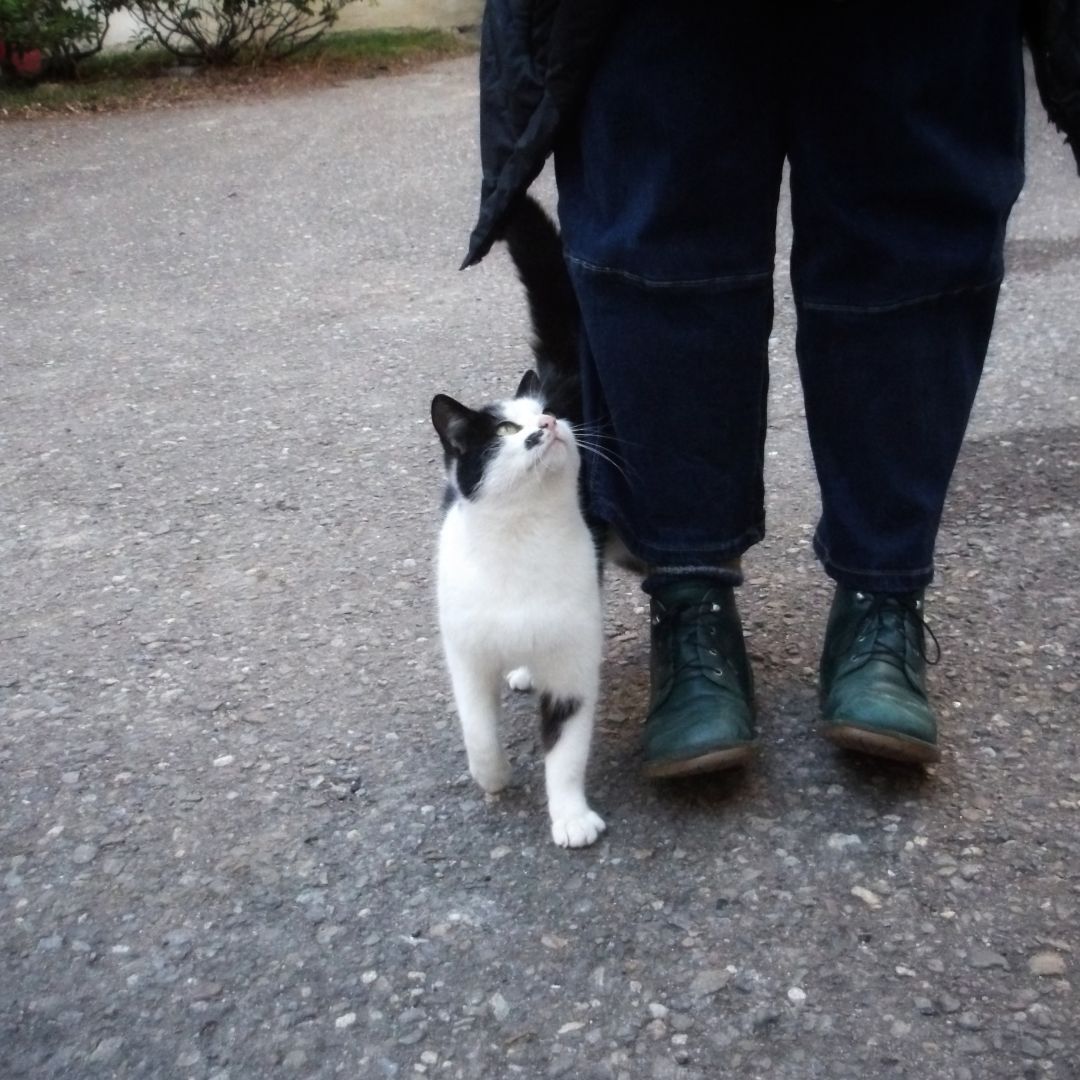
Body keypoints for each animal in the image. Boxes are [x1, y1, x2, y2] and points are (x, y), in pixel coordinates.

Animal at [432, 369, 609, 842]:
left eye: (548, 412)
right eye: (505, 430)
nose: (547, 424)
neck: (524, 534)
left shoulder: (571, 664)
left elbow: (567, 752)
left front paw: (571, 816)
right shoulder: (467, 654)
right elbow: (477, 729)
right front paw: (492, 777)